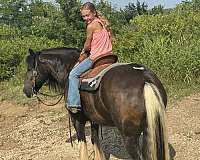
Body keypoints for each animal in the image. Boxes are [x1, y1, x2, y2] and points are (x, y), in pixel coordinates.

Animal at [23, 47, 169, 159]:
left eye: (30, 68)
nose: (26, 90)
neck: (69, 69)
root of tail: (145, 80)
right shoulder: (94, 120)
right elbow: (95, 140)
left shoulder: (77, 120)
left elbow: (83, 143)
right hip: (149, 131)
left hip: (130, 137)